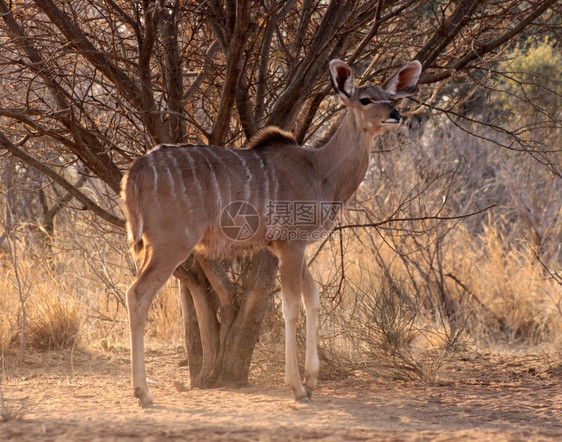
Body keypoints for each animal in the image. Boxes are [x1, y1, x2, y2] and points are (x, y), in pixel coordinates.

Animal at [122, 58, 420, 408]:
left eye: (392, 97)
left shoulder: (290, 246)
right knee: (138, 294)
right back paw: (143, 393)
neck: (321, 173)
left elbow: (312, 297)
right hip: (172, 243)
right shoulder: (291, 244)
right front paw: (297, 388)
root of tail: (136, 169)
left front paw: (312, 381)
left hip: (154, 247)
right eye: (365, 99)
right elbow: (290, 305)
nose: (395, 114)